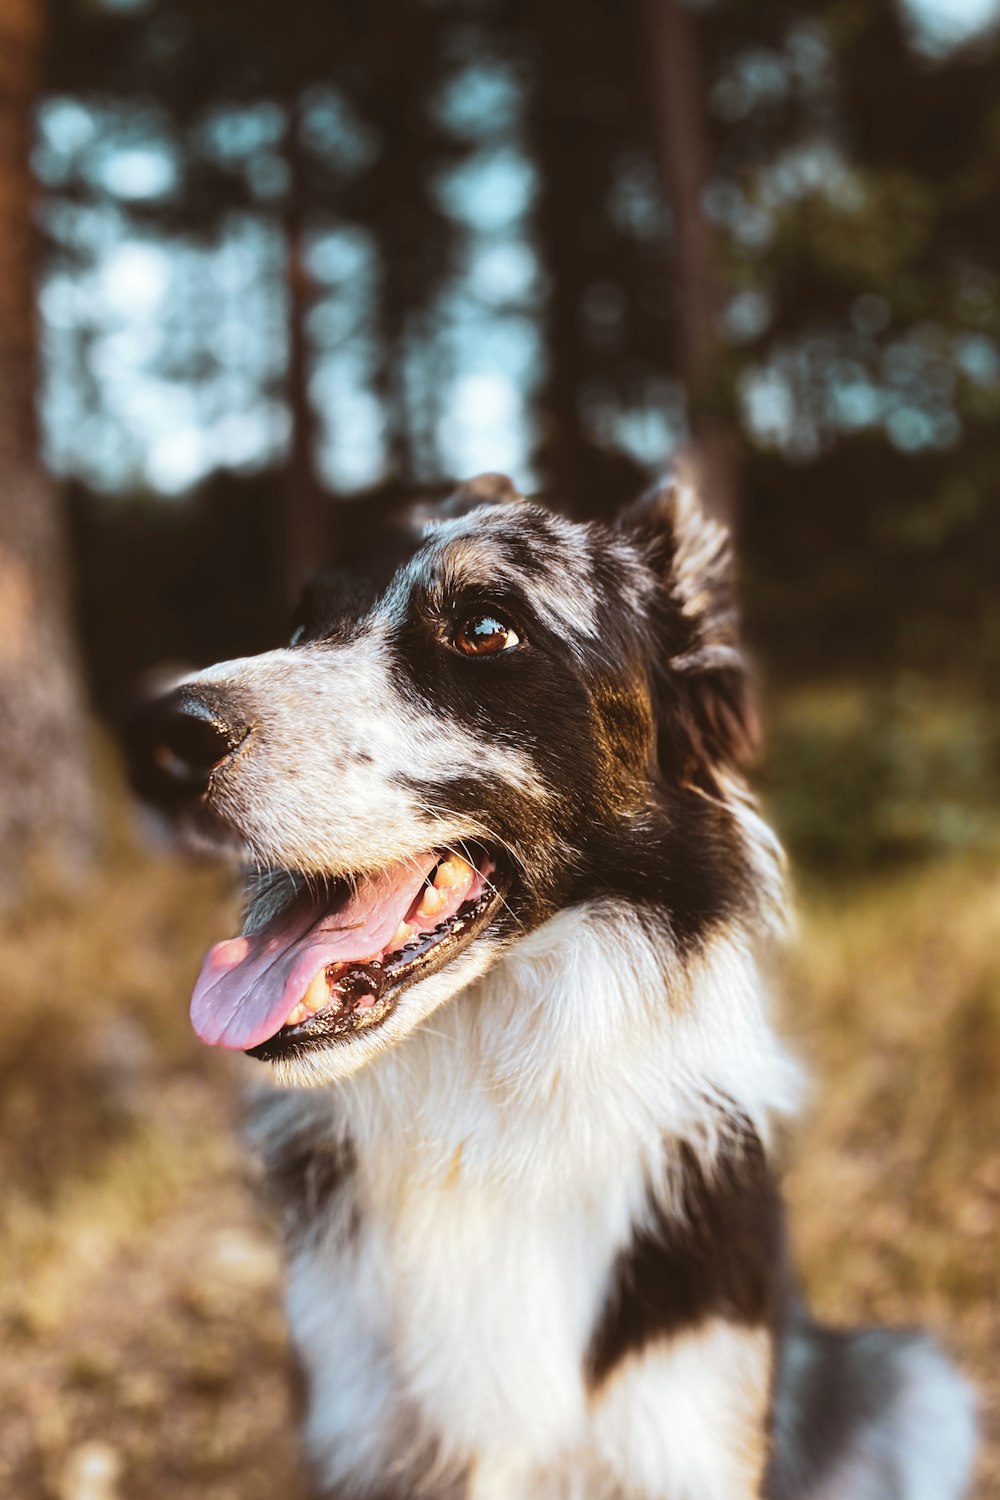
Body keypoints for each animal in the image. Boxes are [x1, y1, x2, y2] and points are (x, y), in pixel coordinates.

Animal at [127, 477, 977, 1500]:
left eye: (485, 629)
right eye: (302, 621)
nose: (159, 740)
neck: (482, 1110)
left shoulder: (689, 1429)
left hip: (914, 1384)